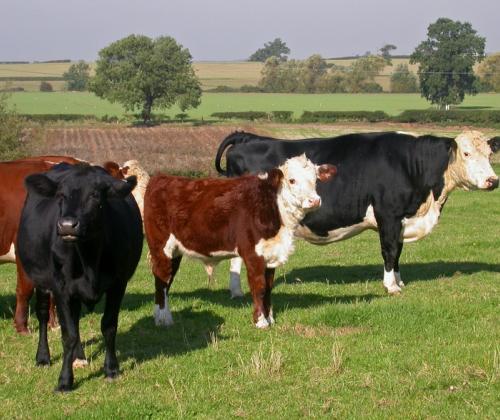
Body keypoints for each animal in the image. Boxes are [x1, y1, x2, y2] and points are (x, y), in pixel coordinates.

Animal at [17, 162, 143, 392]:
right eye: (60, 195)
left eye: (94, 195)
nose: (67, 225)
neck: (89, 258)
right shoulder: (61, 288)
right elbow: (68, 335)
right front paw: (65, 380)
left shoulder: (118, 284)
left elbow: (108, 326)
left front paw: (111, 369)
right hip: (40, 282)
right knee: (43, 315)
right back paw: (43, 357)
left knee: (75, 319)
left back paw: (79, 357)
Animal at [143, 154, 336, 328]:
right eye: (292, 180)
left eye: (315, 179)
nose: (314, 200)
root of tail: (162, 177)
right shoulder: (252, 253)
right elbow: (259, 286)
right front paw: (260, 322)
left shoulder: (270, 253)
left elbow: (269, 287)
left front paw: (270, 318)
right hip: (160, 247)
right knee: (161, 278)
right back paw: (164, 319)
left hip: (175, 252)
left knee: (165, 282)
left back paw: (159, 315)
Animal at [215, 130, 500, 296]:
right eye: (466, 153)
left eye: (489, 154)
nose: (492, 180)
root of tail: (247, 137)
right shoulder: (389, 215)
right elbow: (390, 251)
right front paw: (391, 286)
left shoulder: (400, 220)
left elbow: (398, 253)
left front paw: (399, 281)